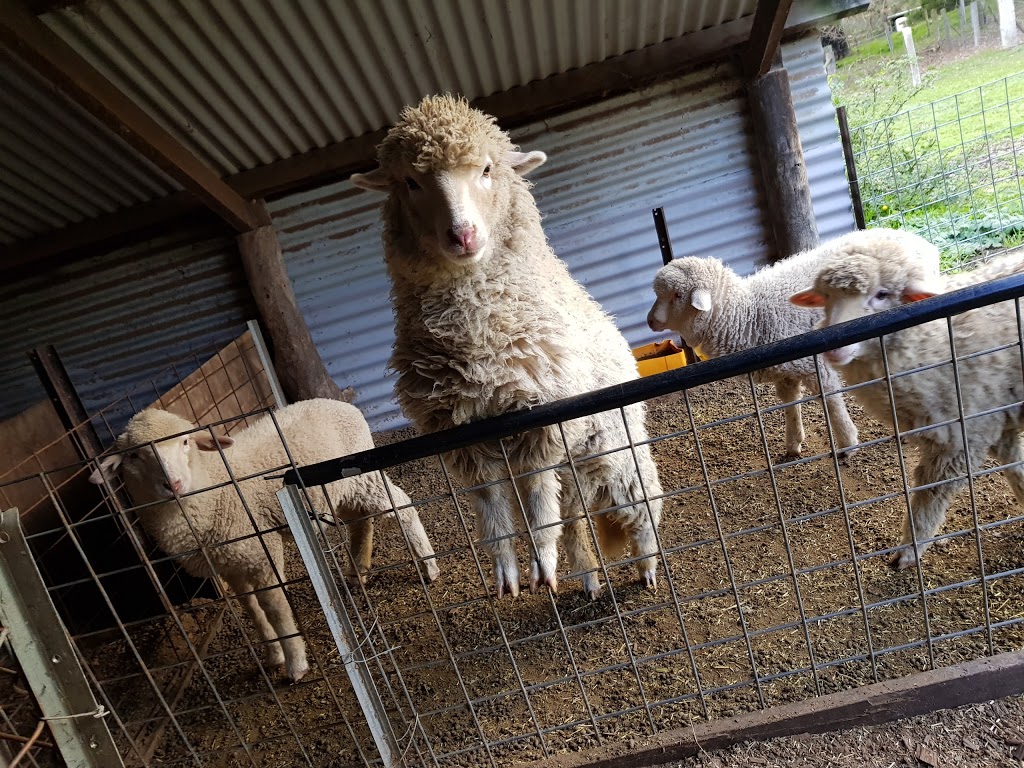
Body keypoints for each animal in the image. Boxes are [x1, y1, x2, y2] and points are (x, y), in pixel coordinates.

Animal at [90, 399, 438, 684]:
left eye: (185, 442)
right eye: (134, 455)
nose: (172, 484)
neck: (211, 490)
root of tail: (341, 403)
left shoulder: (261, 553)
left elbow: (274, 608)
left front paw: (296, 664)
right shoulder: (230, 563)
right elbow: (252, 610)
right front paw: (273, 655)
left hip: (360, 476)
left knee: (402, 507)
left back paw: (429, 566)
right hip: (338, 487)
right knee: (360, 521)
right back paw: (358, 572)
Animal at [352, 93, 663, 602]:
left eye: (486, 169)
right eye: (410, 182)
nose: (463, 235)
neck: (477, 344)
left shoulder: (542, 420)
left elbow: (537, 497)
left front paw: (541, 559)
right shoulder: (462, 435)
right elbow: (491, 507)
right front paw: (508, 572)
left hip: (613, 449)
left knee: (638, 501)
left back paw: (648, 565)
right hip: (574, 470)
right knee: (573, 519)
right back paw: (589, 580)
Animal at [647, 228, 942, 456]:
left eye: (676, 295)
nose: (650, 321)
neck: (749, 313)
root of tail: (917, 239)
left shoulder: (817, 365)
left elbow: (831, 402)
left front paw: (848, 443)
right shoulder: (786, 373)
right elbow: (789, 406)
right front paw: (793, 443)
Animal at [790, 246, 1024, 573]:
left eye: (882, 294)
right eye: (825, 298)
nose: (833, 348)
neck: (935, 342)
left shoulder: (961, 439)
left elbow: (931, 494)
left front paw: (908, 552)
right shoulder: (995, 423)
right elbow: (1017, 470)